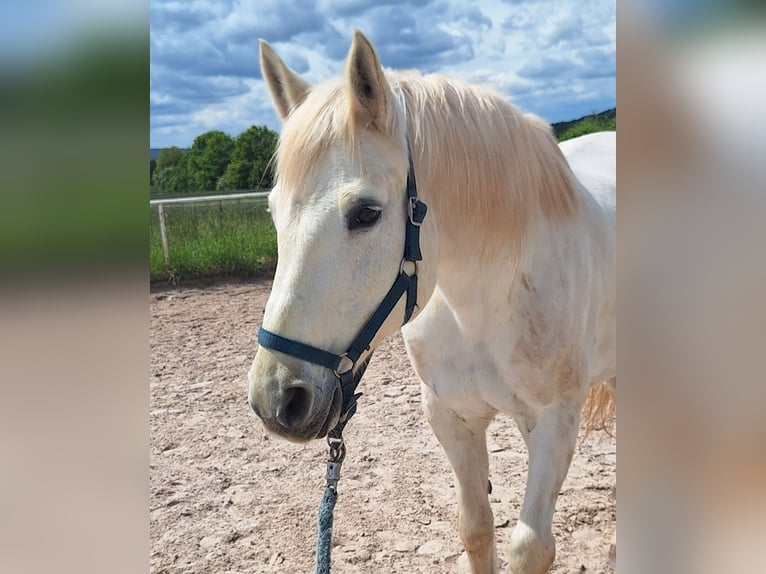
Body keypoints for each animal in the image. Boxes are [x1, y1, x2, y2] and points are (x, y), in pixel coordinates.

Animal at [248, 30, 615, 574]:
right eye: (273, 212)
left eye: (366, 213)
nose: (276, 400)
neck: (484, 305)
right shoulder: (450, 416)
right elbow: (476, 528)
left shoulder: (554, 424)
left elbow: (530, 546)